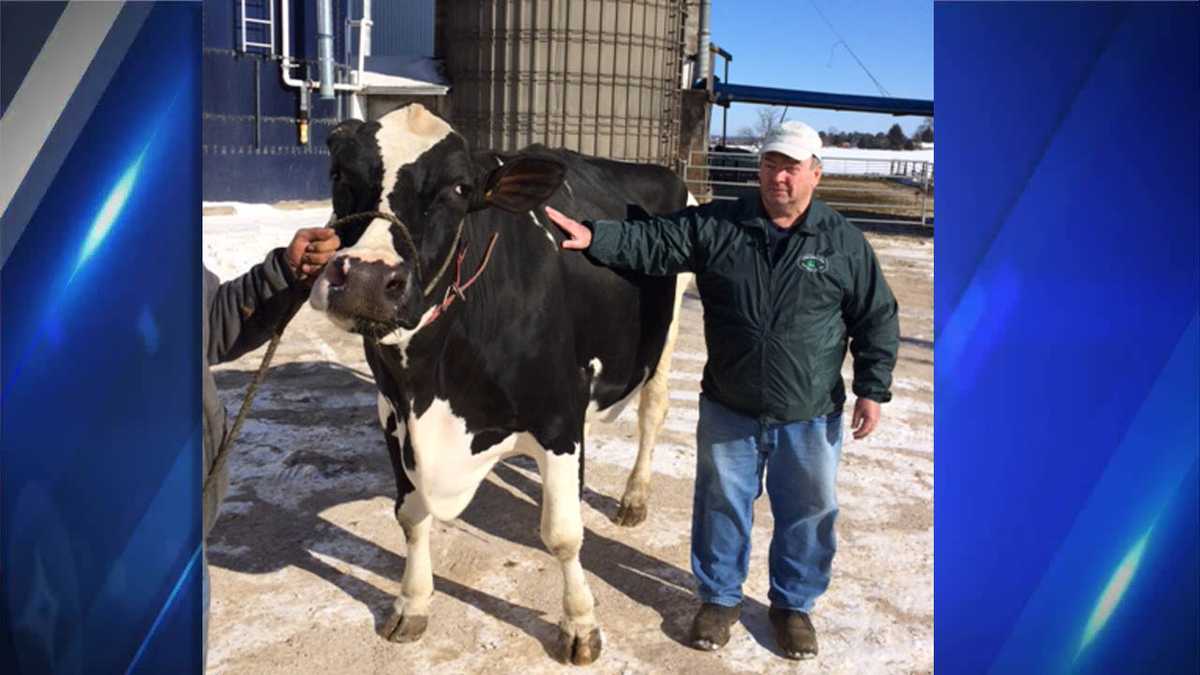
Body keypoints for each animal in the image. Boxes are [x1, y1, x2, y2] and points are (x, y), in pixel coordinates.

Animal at [308, 103, 693, 665]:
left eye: (460, 188)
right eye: (339, 174)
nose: (366, 280)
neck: (434, 387)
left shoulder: (558, 417)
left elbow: (563, 534)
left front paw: (580, 624)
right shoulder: (392, 415)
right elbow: (411, 516)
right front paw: (411, 603)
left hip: (666, 333)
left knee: (652, 411)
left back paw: (634, 498)